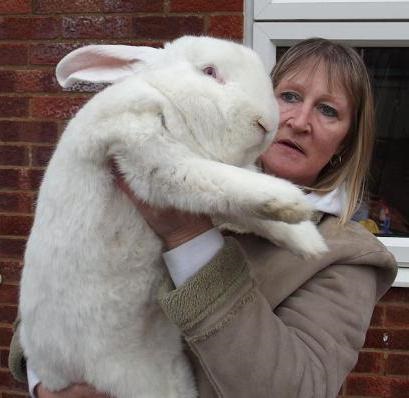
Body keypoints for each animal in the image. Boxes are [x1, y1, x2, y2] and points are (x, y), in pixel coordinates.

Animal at [19, 35, 326, 398]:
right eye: (209, 71)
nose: (266, 124)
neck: (168, 99)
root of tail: (56, 373)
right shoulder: (156, 162)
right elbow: (225, 180)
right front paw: (293, 201)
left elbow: (247, 208)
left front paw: (309, 243)